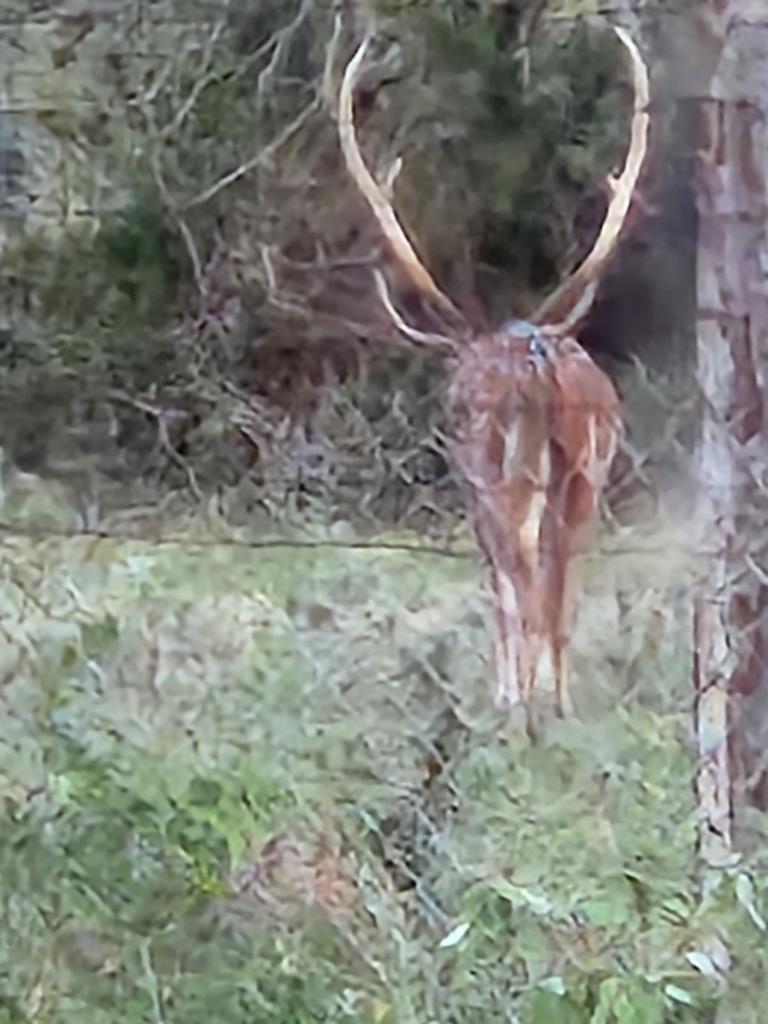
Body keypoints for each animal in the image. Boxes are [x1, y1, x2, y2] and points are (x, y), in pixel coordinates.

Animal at [335, 28, 651, 724]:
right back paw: (559, 703)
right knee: (562, 587)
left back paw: (524, 707)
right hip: (583, 475)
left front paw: (504, 692)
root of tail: (537, 370)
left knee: (526, 583)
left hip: (505, 472)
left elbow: (498, 590)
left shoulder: (473, 484)